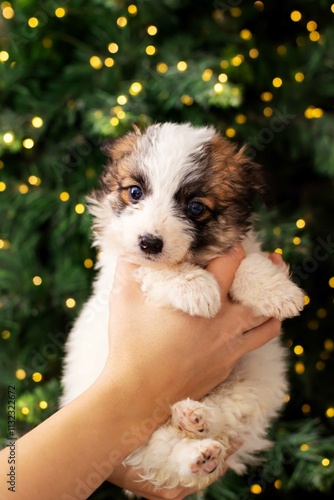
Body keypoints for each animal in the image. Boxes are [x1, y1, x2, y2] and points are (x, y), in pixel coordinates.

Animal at [59, 123, 302, 490]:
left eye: (196, 208)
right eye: (134, 193)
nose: (149, 243)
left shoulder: (239, 250)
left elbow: (248, 260)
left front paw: (275, 290)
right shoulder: (125, 266)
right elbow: (152, 271)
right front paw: (195, 287)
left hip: (252, 381)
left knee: (222, 415)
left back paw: (197, 421)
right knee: (163, 451)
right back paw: (195, 453)